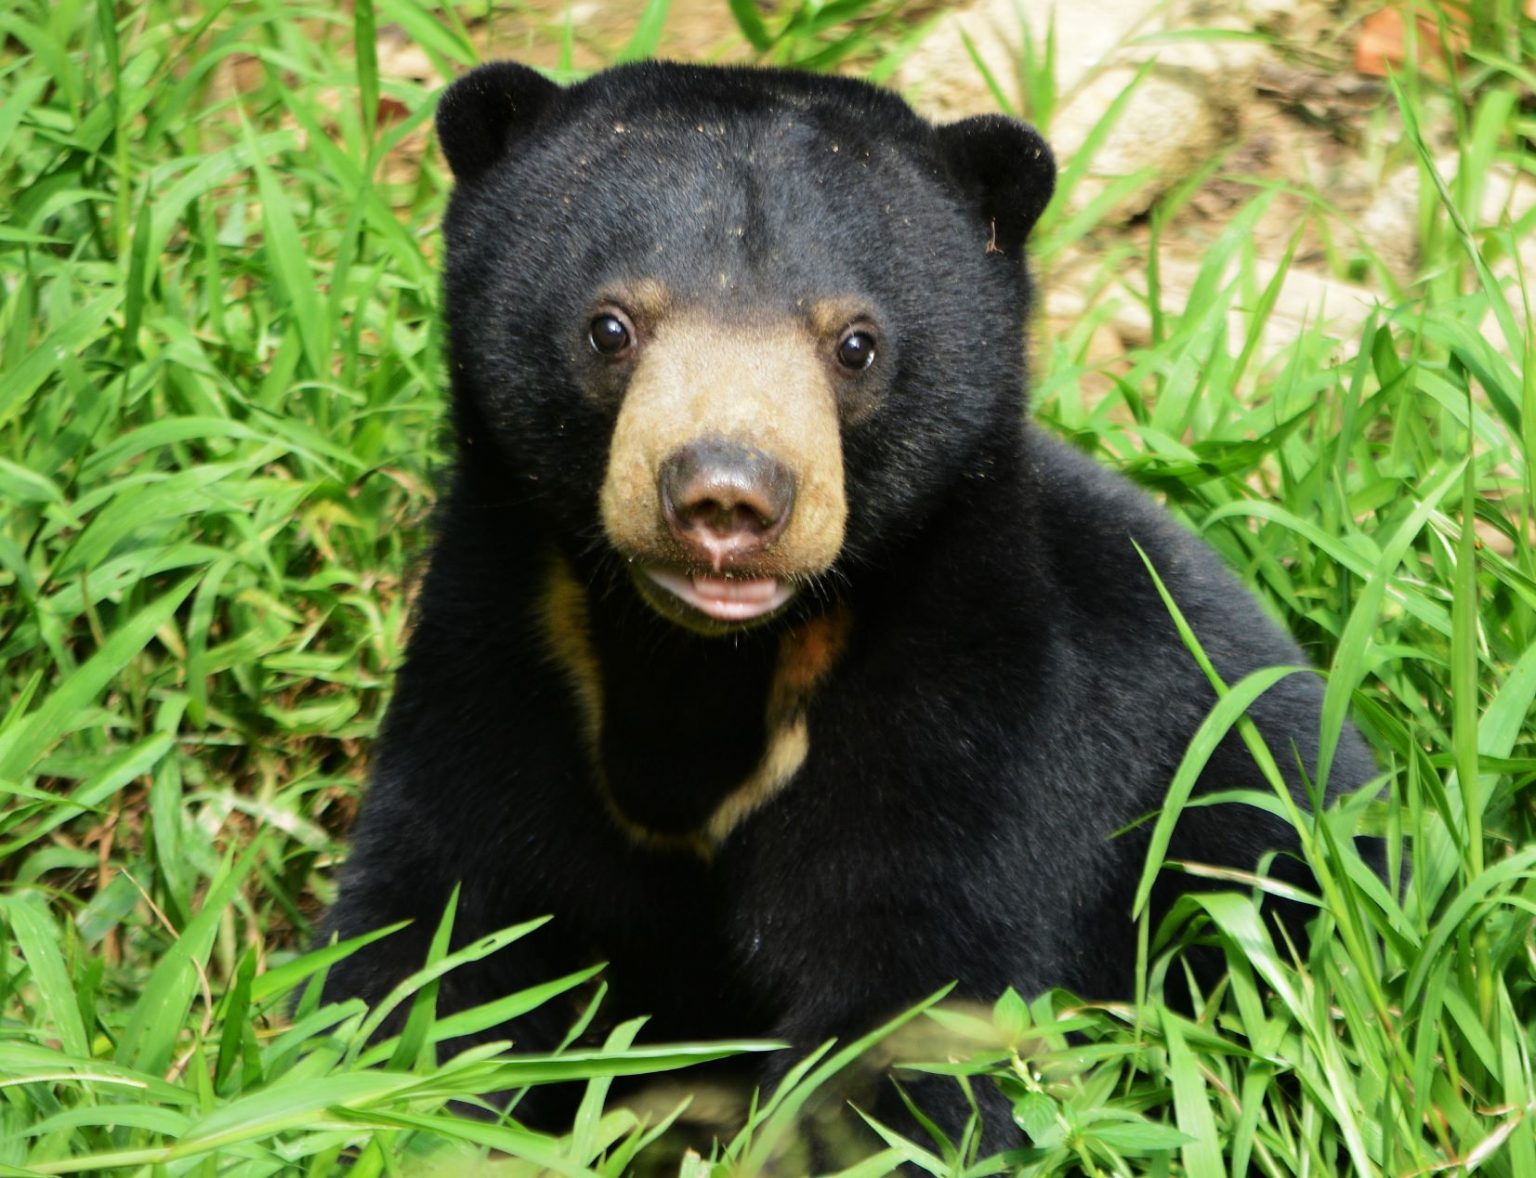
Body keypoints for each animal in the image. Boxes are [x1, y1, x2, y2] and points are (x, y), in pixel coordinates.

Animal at [324, 59, 1382, 1154]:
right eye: (609, 327)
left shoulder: (967, 700)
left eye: (857, 343)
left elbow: (911, 1003)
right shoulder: (507, 652)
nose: (727, 496)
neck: (699, 664)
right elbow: (435, 939)